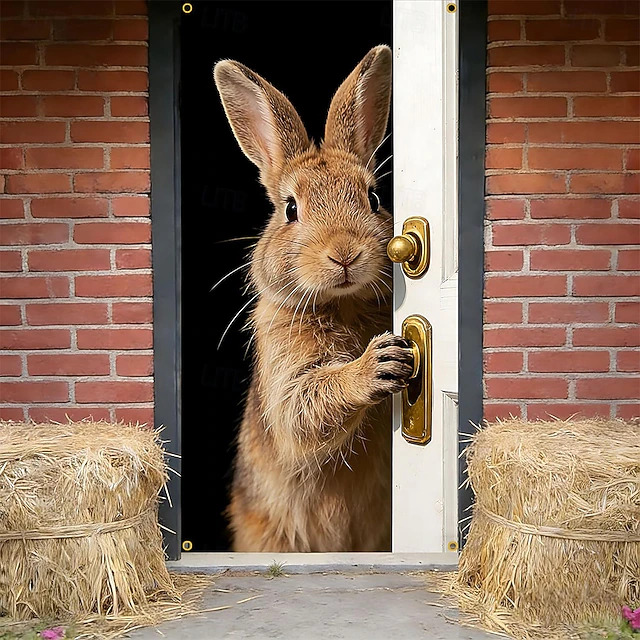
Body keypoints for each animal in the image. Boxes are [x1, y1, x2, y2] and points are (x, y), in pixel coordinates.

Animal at [213, 45, 415, 552]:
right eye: (290, 209)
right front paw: (378, 365)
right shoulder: (286, 371)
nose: (344, 253)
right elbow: (303, 407)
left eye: (373, 198)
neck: (342, 303)